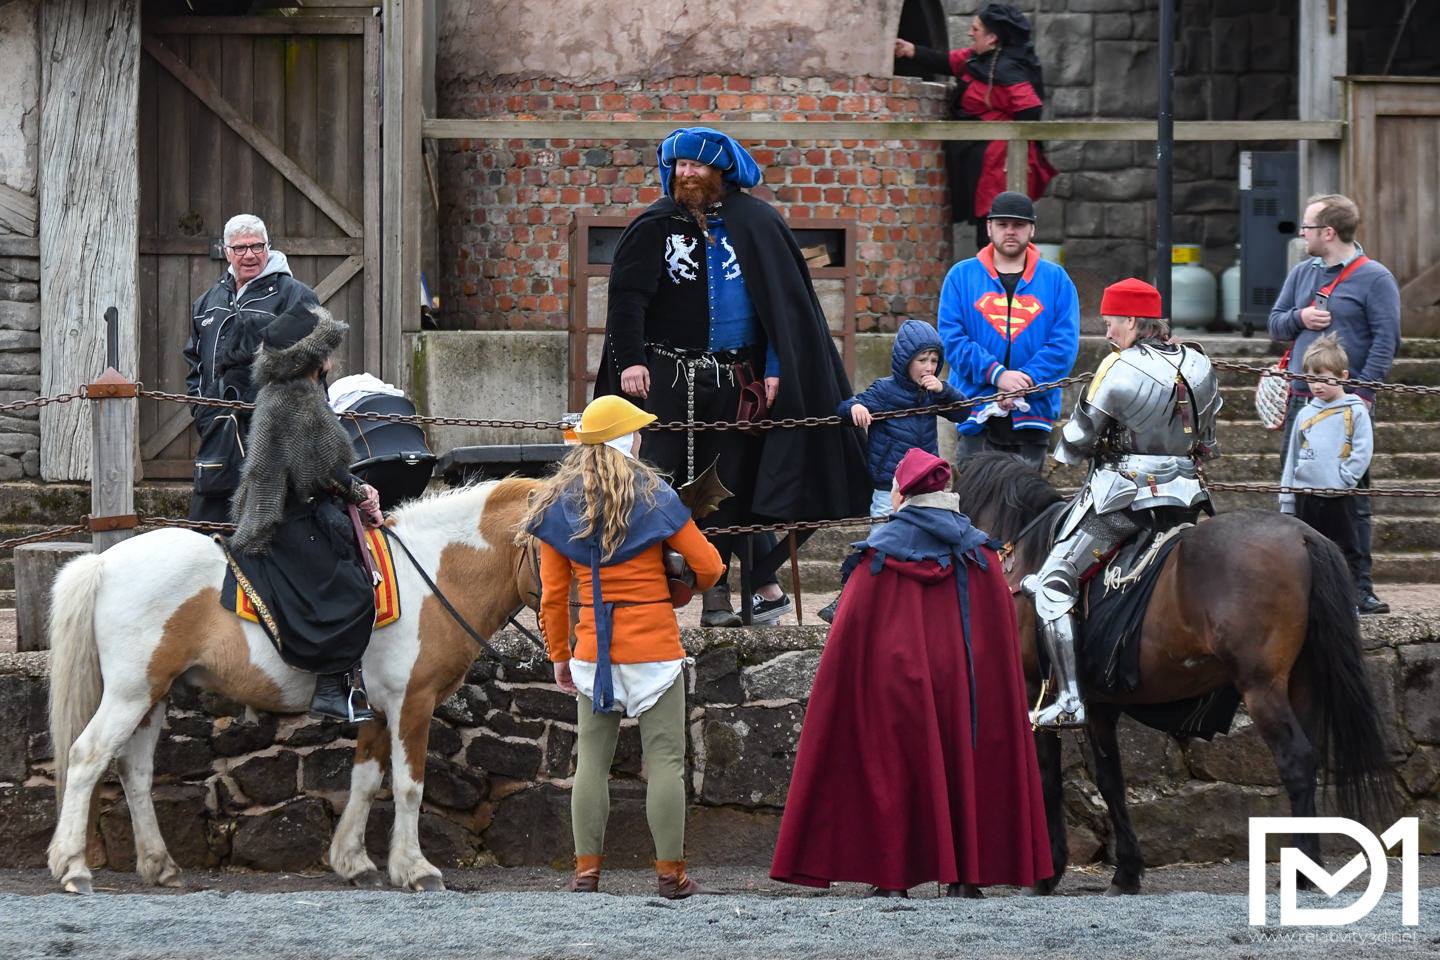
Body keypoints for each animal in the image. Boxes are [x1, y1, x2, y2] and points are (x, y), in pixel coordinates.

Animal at [45, 477, 543, 895]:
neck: (435, 575)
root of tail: (103, 562)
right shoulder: (412, 703)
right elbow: (408, 786)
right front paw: (415, 869)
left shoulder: (378, 709)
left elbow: (365, 781)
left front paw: (353, 861)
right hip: (130, 693)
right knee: (87, 757)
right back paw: (73, 866)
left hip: (153, 696)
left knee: (135, 771)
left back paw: (159, 864)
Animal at [950, 453, 1397, 896]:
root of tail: (1304, 537)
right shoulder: (1099, 705)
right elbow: (1109, 779)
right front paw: (1125, 872)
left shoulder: (1037, 691)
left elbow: (1046, 777)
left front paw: (1047, 874)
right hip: (1301, 682)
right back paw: (1309, 869)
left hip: (1261, 687)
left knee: (1296, 760)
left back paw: (1301, 875)